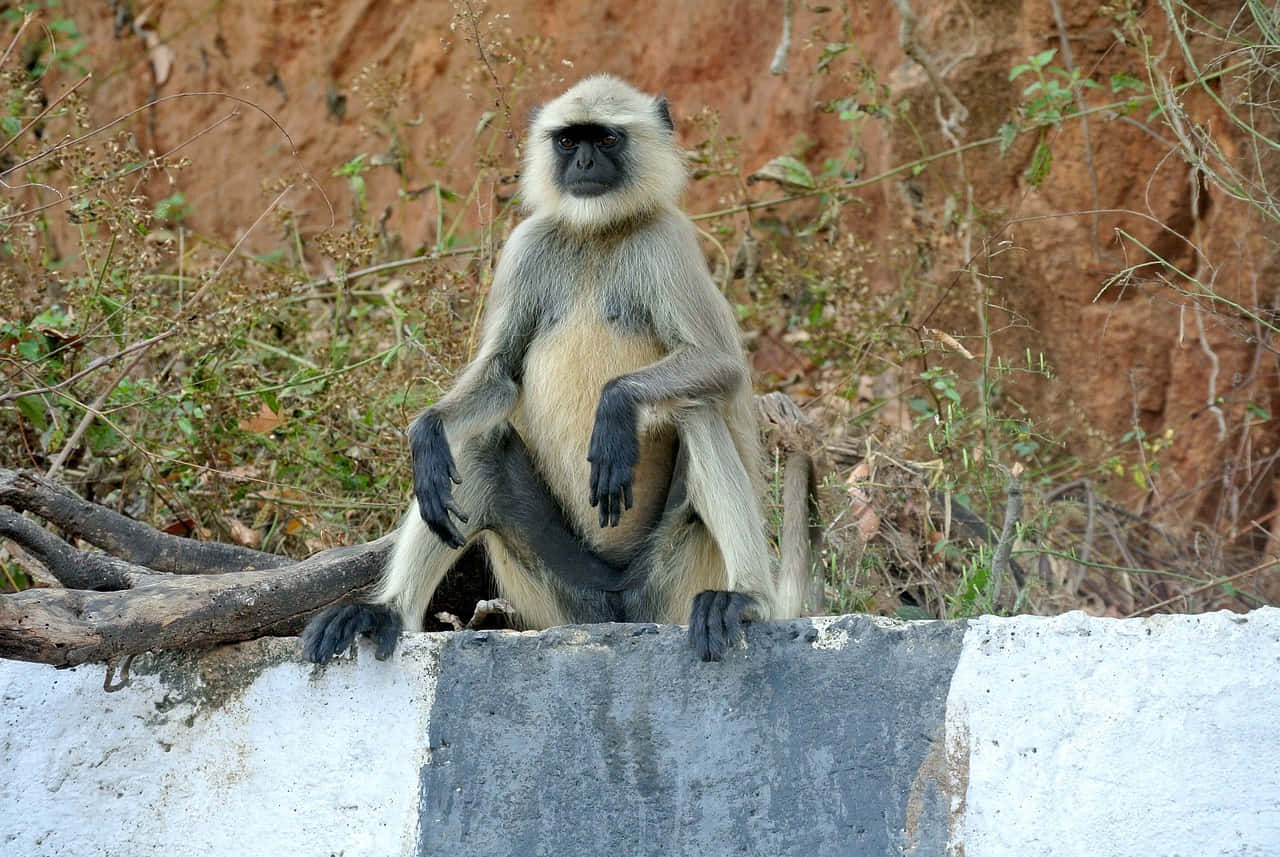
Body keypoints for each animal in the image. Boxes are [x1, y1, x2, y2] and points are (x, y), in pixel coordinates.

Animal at [303, 75, 798, 665]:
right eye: (567, 141)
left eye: (604, 139)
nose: (583, 163)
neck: (596, 233)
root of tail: (617, 607)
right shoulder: (527, 246)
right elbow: (498, 375)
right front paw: (425, 432)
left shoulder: (666, 240)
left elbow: (721, 365)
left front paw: (615, 409)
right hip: (562, 592)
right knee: (476, 447)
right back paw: (385, 610)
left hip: (675, 576)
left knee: (696, 410)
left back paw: (746, 599)